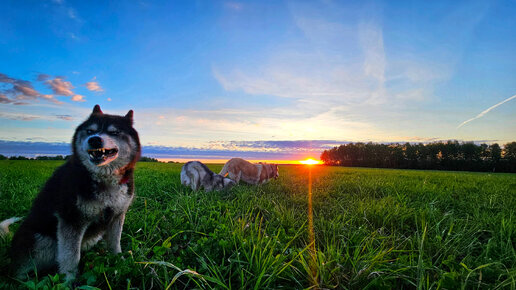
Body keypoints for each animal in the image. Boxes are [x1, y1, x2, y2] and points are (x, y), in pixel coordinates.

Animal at [2, 105, 140, 280]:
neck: (104, 180)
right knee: (17, 272)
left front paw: (120, 263)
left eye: (114, 132)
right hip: (40, 242)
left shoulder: (117, 216)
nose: (94, 139)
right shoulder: (71, 219)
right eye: (90, 131)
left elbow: (115, 245)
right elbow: (71, 256)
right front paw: (70, 280)